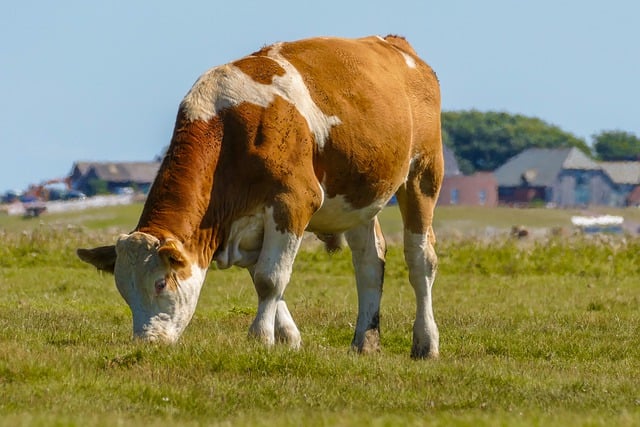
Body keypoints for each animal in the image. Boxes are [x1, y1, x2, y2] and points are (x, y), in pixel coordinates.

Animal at [76, 35, 444, 360]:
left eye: (161, 284)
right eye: (124, 289)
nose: (147, 342)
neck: (228, 130)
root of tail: (395, 44)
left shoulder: (294, 202)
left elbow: (270, 278)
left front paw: (260, 338)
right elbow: (261, 278)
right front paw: (289, 338)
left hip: (423, 175)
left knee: (420, 260)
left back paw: (426, 343)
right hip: (358, 198)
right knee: (369, 263)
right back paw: (364, 342)